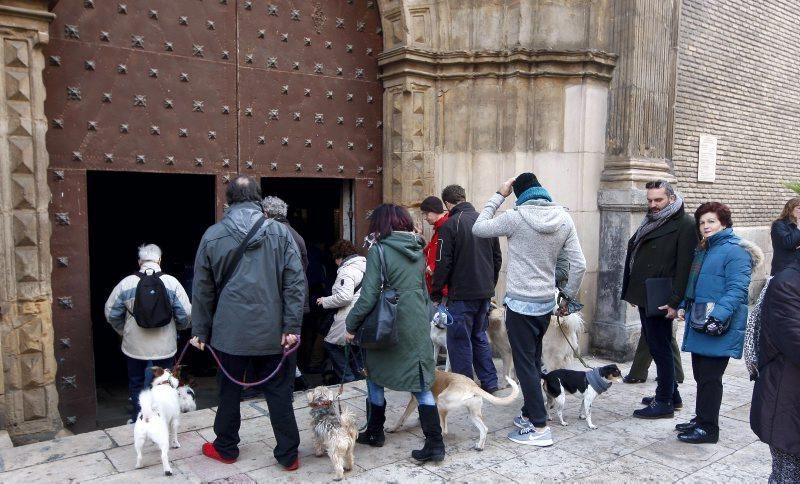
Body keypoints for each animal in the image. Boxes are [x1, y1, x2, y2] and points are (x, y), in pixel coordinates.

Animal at [386, 370, 520, 450]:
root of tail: (472, 386)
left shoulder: (414, 401)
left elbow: (402, 417)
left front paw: (393, 428)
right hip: (473, 414)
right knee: (484, 429)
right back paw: (480, 446)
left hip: (441, 403)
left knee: (444, 430)